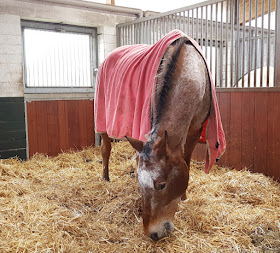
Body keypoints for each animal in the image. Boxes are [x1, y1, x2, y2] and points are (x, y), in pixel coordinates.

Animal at [95, 30, 224, 241]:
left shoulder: (195, 131)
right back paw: (105, 177)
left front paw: (184, 197)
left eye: (162, 185)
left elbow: (186, 161)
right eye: (140, 183)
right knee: (106, 149)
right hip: (103, 121)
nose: (153, 234)